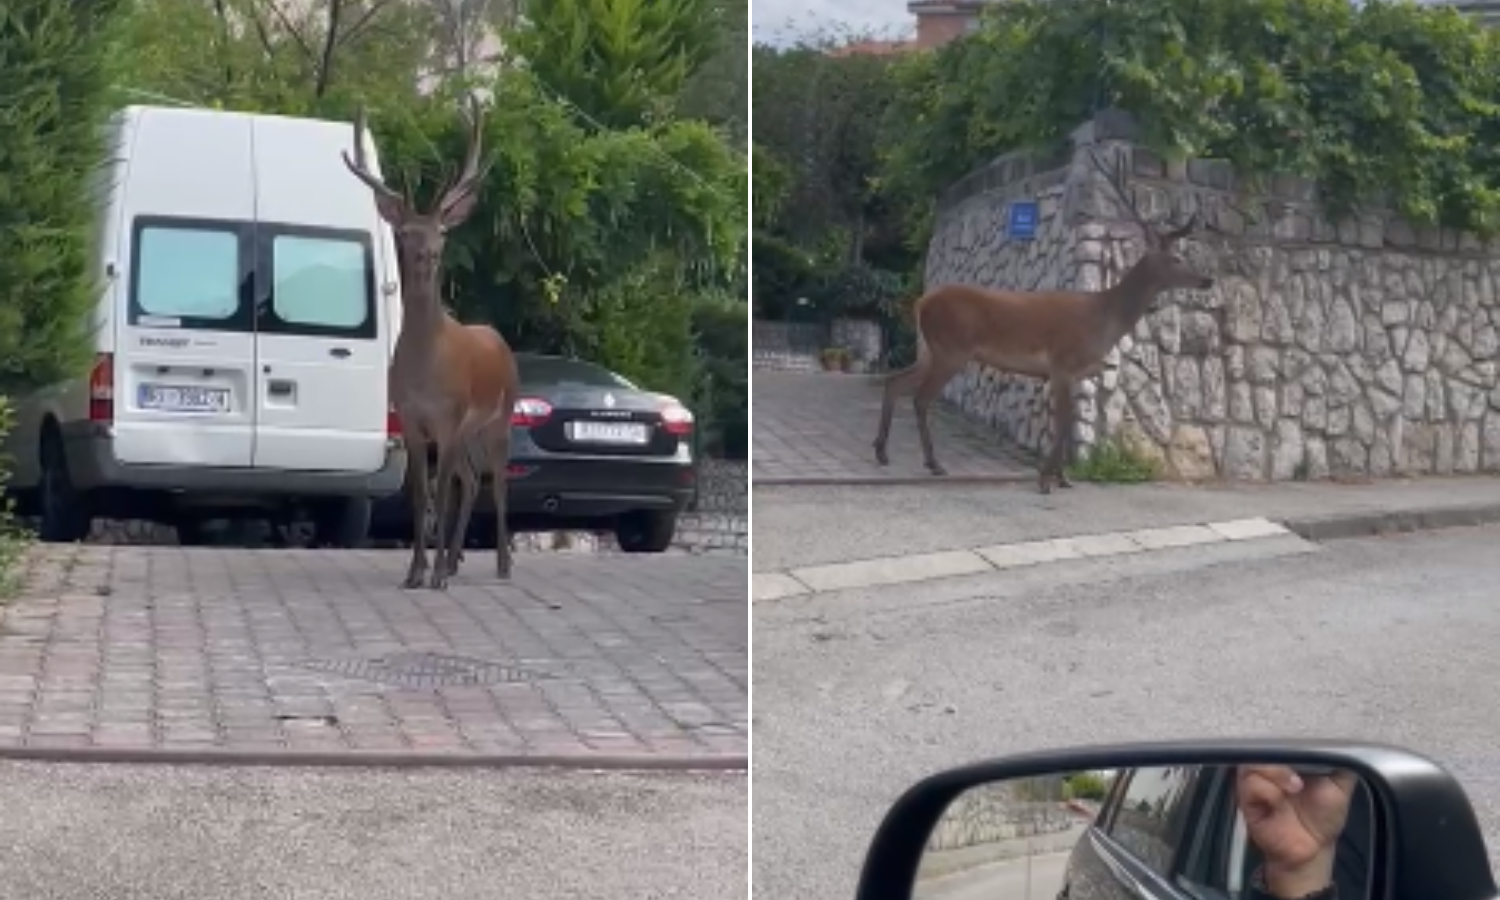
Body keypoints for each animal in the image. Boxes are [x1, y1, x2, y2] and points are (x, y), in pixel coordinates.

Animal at [342, 96, 522, 591]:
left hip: (499, 416)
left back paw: (501, 563)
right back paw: (456, 560)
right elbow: (421, 494)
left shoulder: (449, 415)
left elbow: (439, 496)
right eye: (406, 233)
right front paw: (416, 571)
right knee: (471, 479)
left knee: (498, 483)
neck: (427, 365)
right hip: (470, 431)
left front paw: (435, 574)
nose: (428, 253)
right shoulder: (412, 418)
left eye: (441, 231)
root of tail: (499, 340)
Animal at [876, 150, 1212, 495]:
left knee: (894, 381)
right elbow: (1062, 423)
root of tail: (921, 302)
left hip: (928, 349)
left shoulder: (1074, 373)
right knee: (920, 398)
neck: (1103, 320)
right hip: (951, 348)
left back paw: (883, 452)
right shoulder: (1062, 363)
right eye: (1176, 258)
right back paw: (933, 463)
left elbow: (1064, 422)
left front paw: (1062, 478)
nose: (1207, 280)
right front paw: (1045, 479)